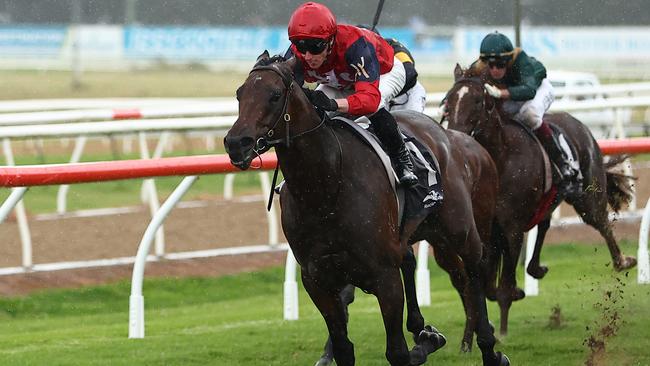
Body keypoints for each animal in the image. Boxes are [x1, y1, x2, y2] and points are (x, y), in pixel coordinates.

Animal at [225, 52, 508, 366]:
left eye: (275, 95)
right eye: (239, 93)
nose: (236, 143)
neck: (326, 187)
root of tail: (448, 134)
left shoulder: (384, 276)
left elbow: (397, 352)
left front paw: (426, 342)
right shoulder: (317, 280)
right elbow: (344, 348)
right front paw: (425, 337)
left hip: (460, 229)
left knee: (475, 270)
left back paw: (488, 347)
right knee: (417, 262)